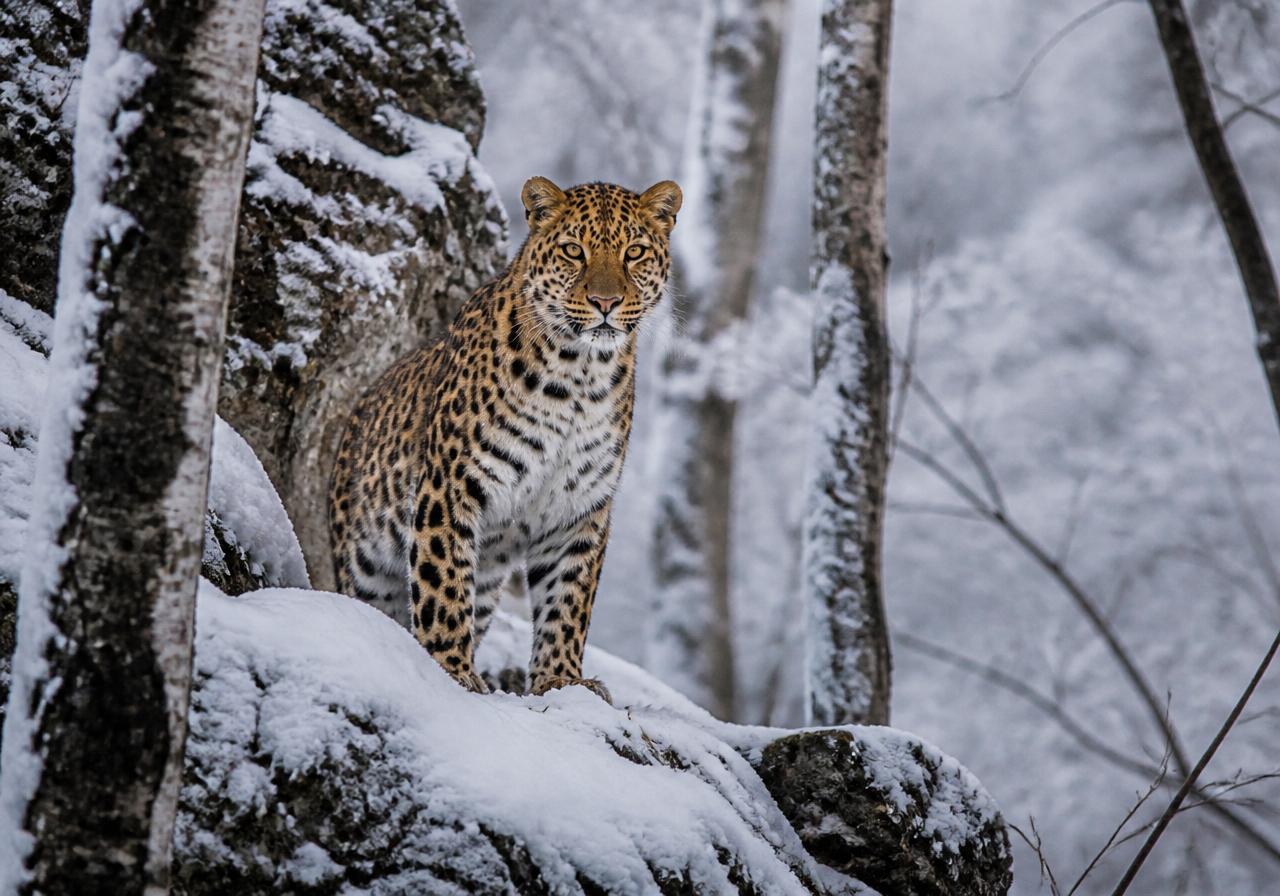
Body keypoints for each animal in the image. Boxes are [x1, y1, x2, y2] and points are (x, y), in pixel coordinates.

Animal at [328, 177, 681, 703]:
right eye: (574, 251)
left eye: (634, 252)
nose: (606, 303)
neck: (580, 376)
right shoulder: (449, 488)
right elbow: (442, 584)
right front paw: (450, 670)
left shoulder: (579, 508)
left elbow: (568, 601)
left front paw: (562, 680)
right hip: (364, 562)